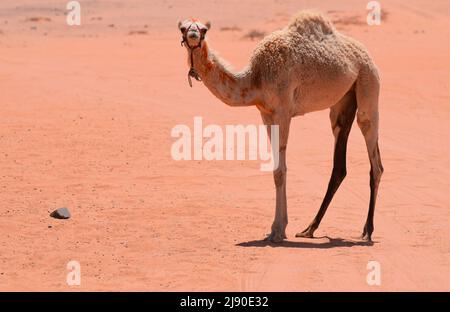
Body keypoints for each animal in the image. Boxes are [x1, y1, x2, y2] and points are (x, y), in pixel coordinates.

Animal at [178, 11, 384, 243]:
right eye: (182, 28)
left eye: (204, 29)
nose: (193, 35)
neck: (255, 78)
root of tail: (367, 55)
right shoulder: (266, 113)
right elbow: (276, 167)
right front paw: (278, 228)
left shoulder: (283, 111)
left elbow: (280, 170)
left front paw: (277, 230)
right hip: (342, 102)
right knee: (340, 160)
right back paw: (309, 229)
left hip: (368, 83)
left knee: (374, 155)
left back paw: (367, 231)